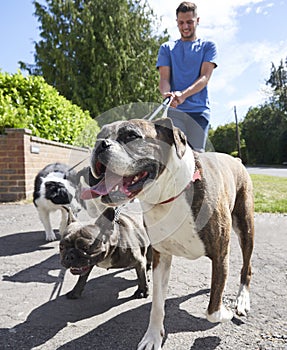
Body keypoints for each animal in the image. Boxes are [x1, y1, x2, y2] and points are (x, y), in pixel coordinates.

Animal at [89, 118, 255, 350]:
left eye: (131, 136)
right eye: (99, 135)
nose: (99, 144)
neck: (169, 196)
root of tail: (236, 159)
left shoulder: (220, 255)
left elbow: (212, 311)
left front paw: (227, 313)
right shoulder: (161, 257)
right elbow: (157, 304)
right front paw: (153, 337)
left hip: (246, 228)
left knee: (246, 268)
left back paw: (241, 300)